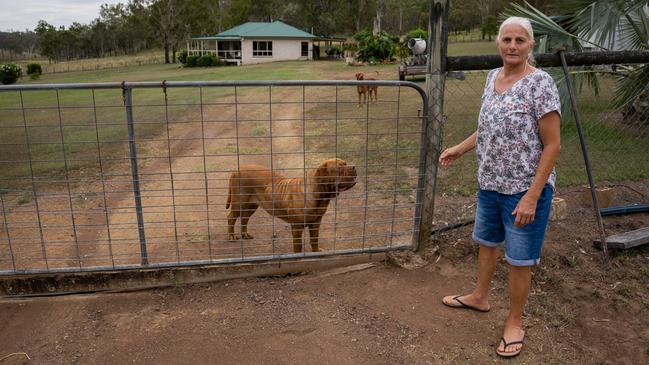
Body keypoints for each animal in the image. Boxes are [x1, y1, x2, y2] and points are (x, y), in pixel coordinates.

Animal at [225, 158, 356, 252]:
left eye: (346, 163)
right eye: (339, 168)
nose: (354, 167)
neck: (320, 196)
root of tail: (236, 170)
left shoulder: (316, 222)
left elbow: (314, 239)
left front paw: (316, 251)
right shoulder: (297, 227)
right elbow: (298, 245)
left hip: (251, 205)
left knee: (244, 218)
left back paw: (245, 234)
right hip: (239, 203)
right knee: (231, 218)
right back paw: (231, 236)